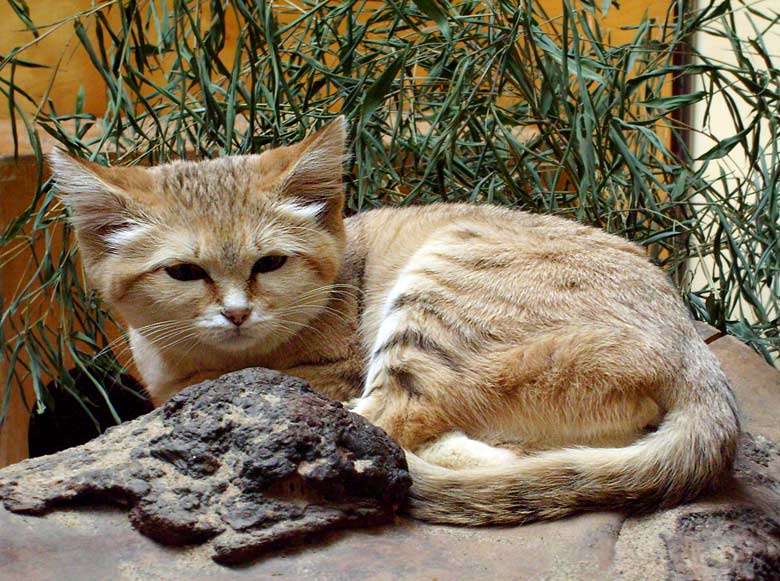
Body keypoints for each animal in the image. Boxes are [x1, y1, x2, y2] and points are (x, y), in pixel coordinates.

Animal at [48, 115, 736, 524]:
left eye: (270, 262)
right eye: (184, 272)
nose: (238, 312)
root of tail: (697, 358)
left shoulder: (332, 372)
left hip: (440, 290)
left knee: (388, 422)